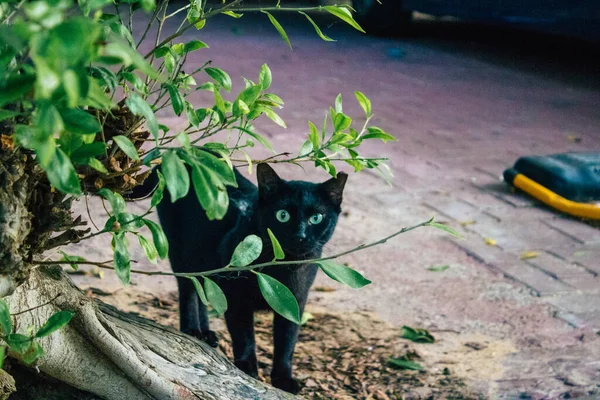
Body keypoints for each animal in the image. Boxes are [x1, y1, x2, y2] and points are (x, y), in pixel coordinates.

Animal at [144, 161, 346, 392]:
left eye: (316, 218)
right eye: (282, 215)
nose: (300, 236)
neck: (282, 270)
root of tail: (174, 158)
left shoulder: (295, 301)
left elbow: (287, 342)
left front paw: (283, 379)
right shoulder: (234, 296)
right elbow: (244, 335)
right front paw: (247, 369)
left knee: (202, 286)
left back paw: (206, 334)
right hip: (180, 250)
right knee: (188, 288)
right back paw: (192, 330)